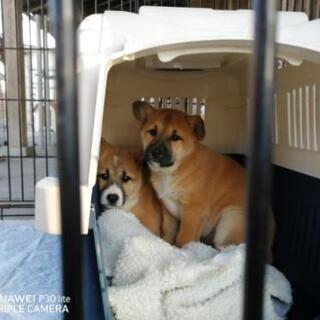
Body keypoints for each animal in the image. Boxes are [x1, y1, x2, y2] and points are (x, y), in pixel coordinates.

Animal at [132, 101, 276, 251]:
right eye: (152, 132)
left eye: (175, 137)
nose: (155, 152)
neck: (176, 168)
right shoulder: (168, 210)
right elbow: (169, 231)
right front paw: (166, 244)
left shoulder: (193, 211)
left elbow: (183, 238)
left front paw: (181, 251)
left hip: (229, 223)